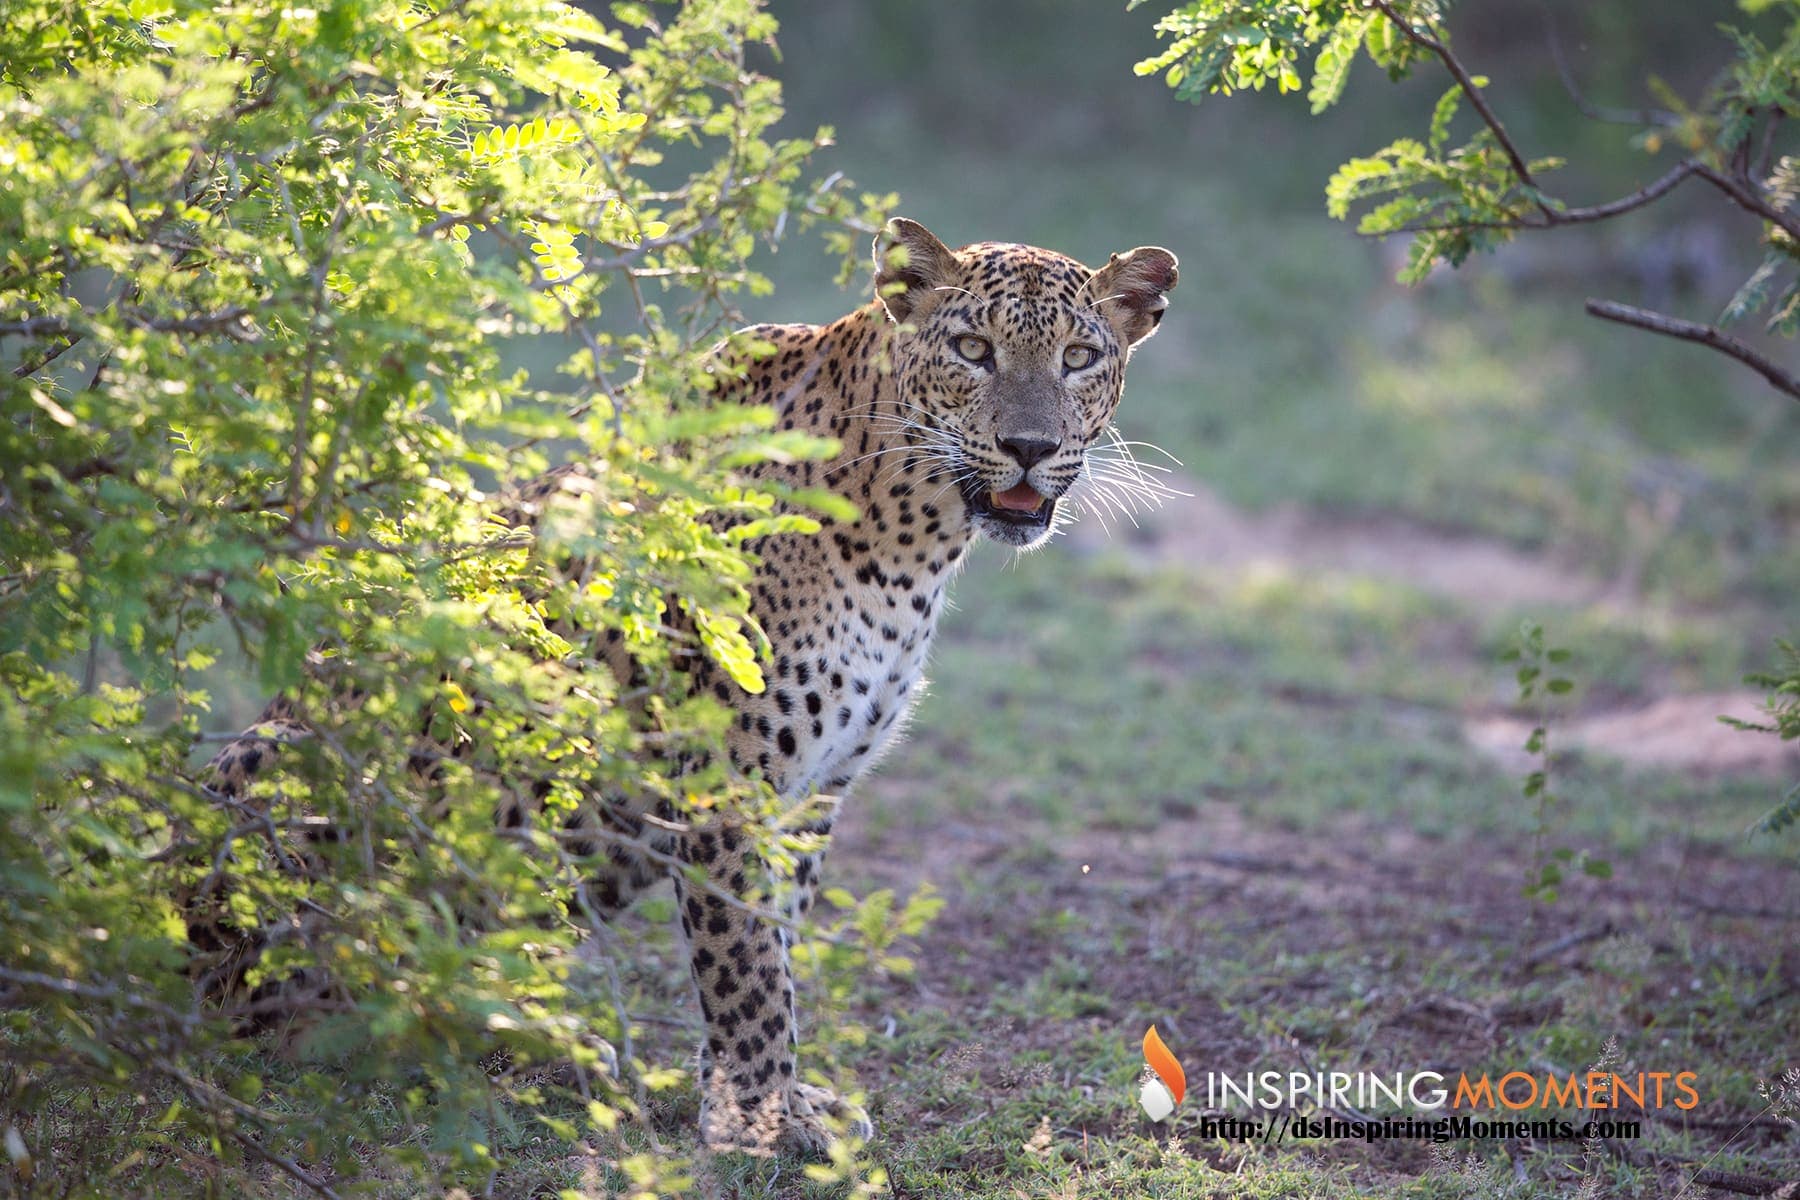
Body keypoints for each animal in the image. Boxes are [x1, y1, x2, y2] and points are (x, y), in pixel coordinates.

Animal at [202, 217, 1178, 1156]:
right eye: (974, 350)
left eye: (1078, 358)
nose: (1029, 447)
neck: (915, 536)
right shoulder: (730, 780)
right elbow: (747, 967)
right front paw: (754, 1120)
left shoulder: (813, 791)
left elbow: (774, 941)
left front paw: (781, 1100)